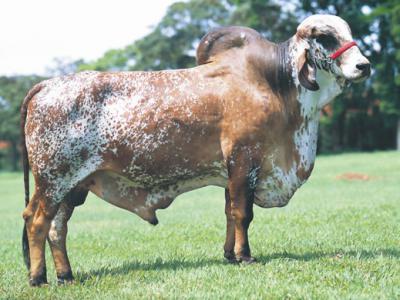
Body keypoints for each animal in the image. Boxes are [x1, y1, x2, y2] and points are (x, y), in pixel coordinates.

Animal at [21, 14, 370, 286]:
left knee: (56, 227)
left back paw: (66, 275)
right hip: (53, 181)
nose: (363, 65)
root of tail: (46, 85)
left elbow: (230, 212)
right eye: (325, 36)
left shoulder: (231, 172)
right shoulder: (245, 161)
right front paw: (245, 256)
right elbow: (243, 213)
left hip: (72, 186)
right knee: (36, 222)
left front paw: (229, 254)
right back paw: (38, 278)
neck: (276, 84)